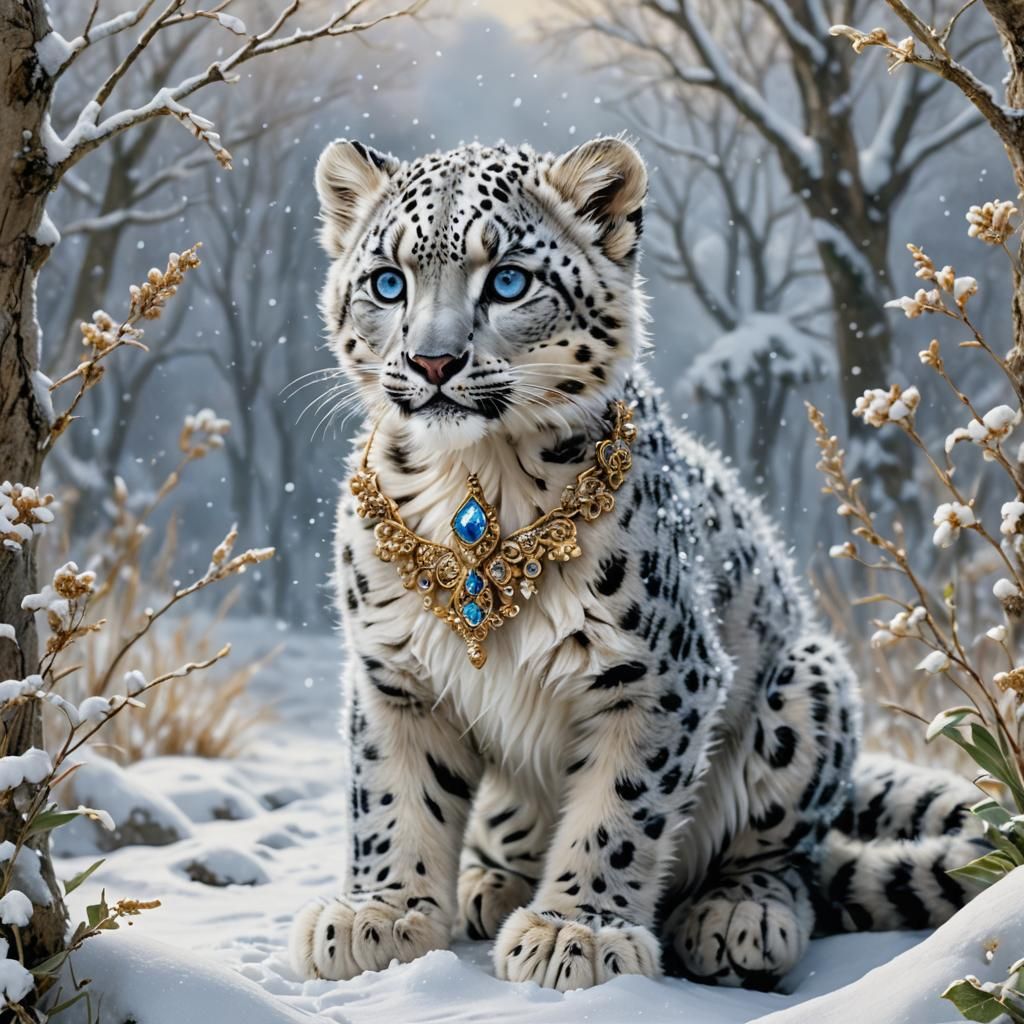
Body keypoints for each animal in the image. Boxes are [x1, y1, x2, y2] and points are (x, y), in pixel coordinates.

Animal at [289, 136, 986, 992]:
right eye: (388, 282)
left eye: (509, 280)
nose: (431, 361)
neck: (475, 489)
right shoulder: (395, 672)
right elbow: (394, 796)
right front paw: (380, 916)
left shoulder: (655, 672)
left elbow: (619, 809)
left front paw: (573, 933)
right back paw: (491, 883)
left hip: (808, 688)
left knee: (793, 858)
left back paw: (739, 916)